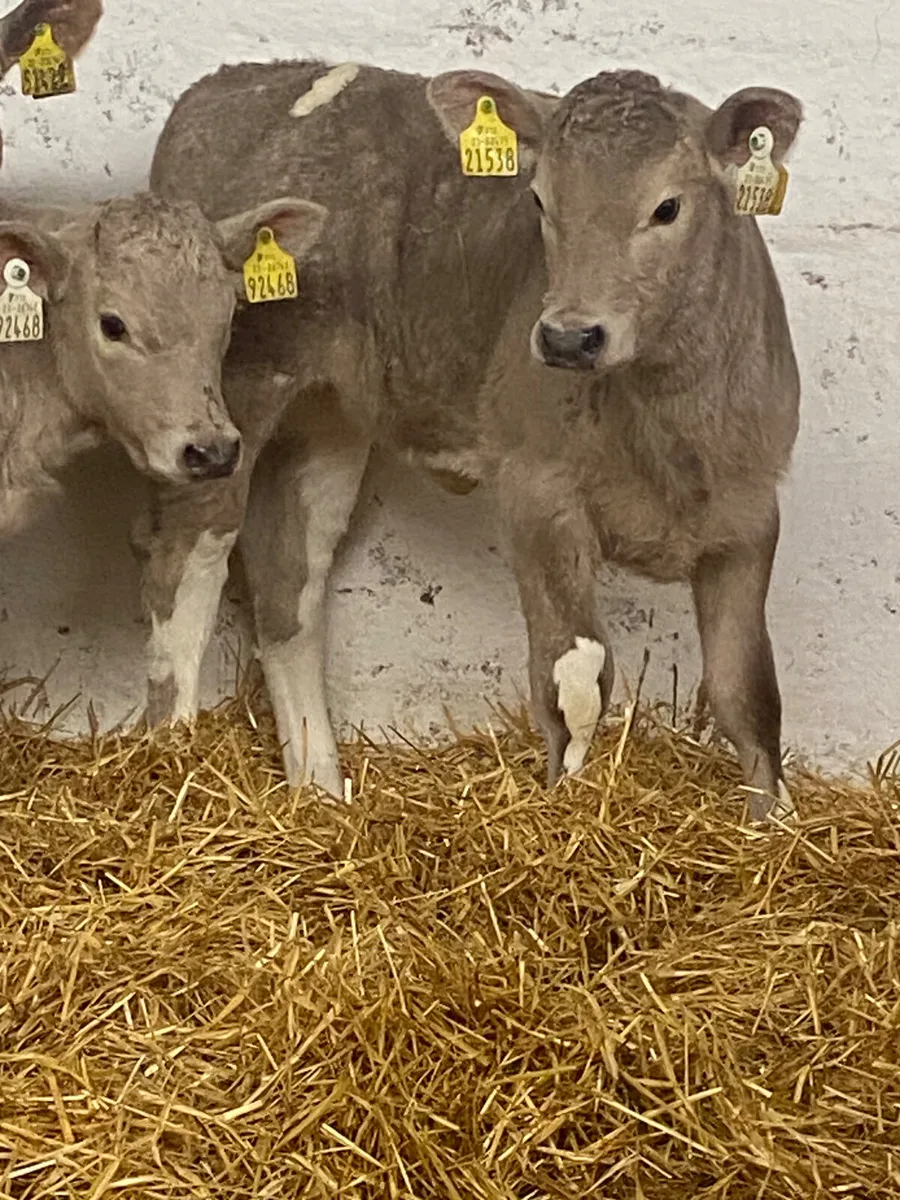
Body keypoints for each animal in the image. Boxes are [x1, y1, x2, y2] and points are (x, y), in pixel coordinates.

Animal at [144, 60, 802, 823]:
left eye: (667, 207)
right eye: (541, 201)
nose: (568, 337)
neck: (668, 429)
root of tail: (231, 83)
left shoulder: (750, 516)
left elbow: (749, 693)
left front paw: (777, 826)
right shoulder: (537, 492)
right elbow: (575, 677)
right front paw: (569, 814)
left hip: (327, 418)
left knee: (289, 584)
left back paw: (321, 790)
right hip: (226, 404)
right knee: (188, 561)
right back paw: (170, 756)